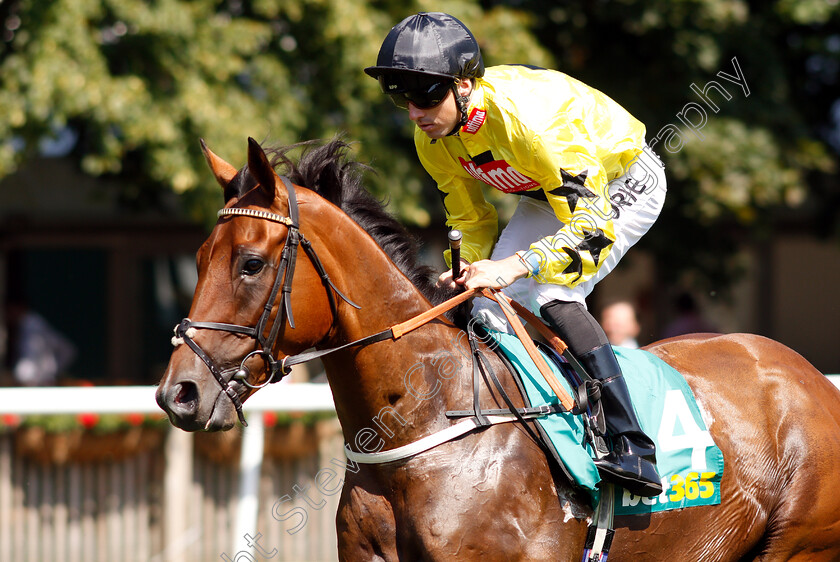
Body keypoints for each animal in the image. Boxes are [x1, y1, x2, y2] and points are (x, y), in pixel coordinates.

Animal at [156, 137, 840, 560]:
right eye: (197, 258)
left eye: (249, 263)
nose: (178, 393)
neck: (428, 419)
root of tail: (809, 377)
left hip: (798, 544)